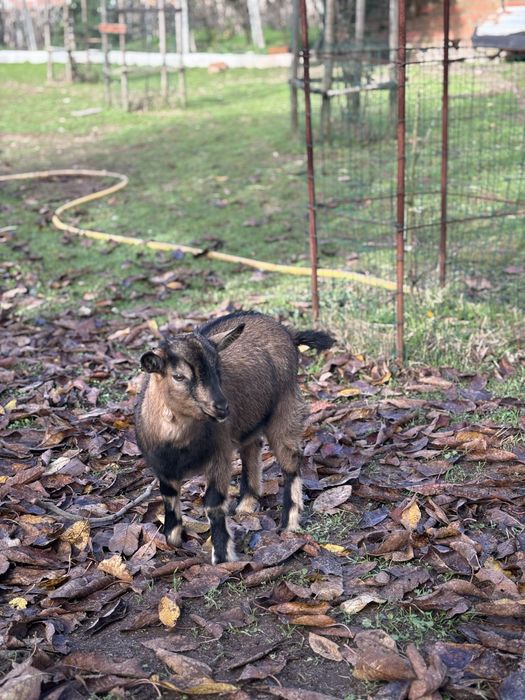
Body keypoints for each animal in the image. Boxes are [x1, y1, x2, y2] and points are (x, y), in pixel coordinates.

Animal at [135, 311, 334, 564]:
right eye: (178, 376)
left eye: (218, 369)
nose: (221, 407)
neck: (177, 442)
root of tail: (289, 333)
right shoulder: (162, 467)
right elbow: (169, 499)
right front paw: (173, 539)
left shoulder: (219, 456)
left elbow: (213, 503)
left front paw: (222, 557)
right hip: (250, 421)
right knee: (252, 449)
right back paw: (246, 505)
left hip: (285, 407)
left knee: (290, 461)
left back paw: (288, 524)